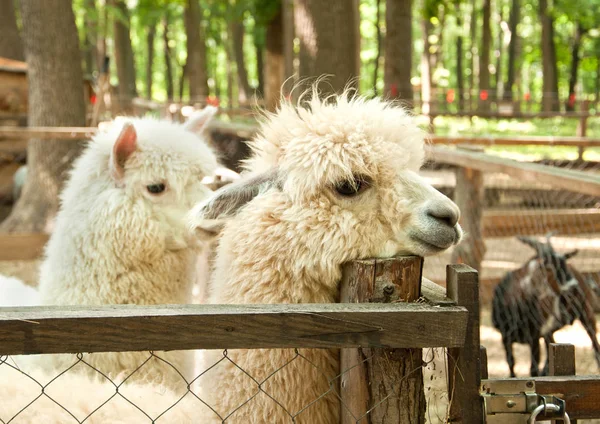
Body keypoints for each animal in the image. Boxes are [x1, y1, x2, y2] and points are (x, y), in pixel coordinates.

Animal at [492, 235, 600, 378]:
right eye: (549, 267)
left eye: (564, 265)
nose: (575, 288)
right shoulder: (505, 337)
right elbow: (511, 363)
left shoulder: (534, 337)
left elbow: (533, 369)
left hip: (586, 314)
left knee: (594, 341)